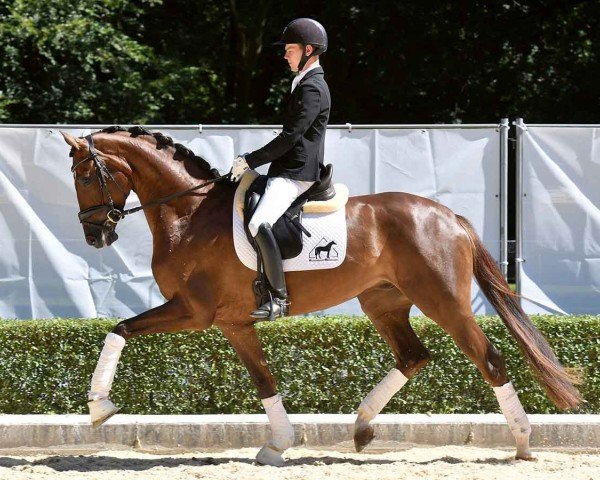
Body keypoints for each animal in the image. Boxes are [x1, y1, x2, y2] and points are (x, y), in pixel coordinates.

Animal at [62, 126, 580, 464]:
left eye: (86, 176)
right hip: (383, 302)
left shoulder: (193, 311)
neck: (189, 213)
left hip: (445, 304)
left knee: (489, 358)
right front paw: (278, 444)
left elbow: (120, 328)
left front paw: (99, 407)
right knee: (413, 356)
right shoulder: (233, 322)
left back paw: (523, 442)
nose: (94, 236)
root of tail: (449, 216)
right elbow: (263, 380)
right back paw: (362, 426)